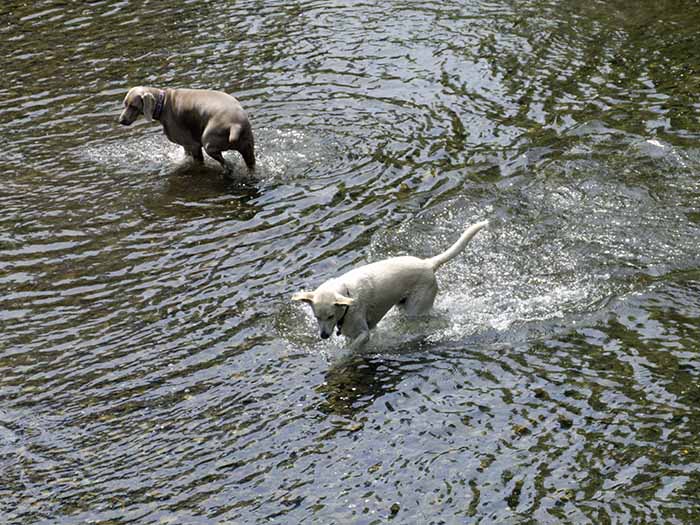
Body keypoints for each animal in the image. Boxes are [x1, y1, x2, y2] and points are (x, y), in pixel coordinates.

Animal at [119, 87, 256, 174]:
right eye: (124, 104)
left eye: (133, 106)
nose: (120, 120)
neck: (163, 103)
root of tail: (236, 125)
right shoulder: (186, 146)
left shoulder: (193, 145)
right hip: (247, 147)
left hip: (208, 142)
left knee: (227, 164)